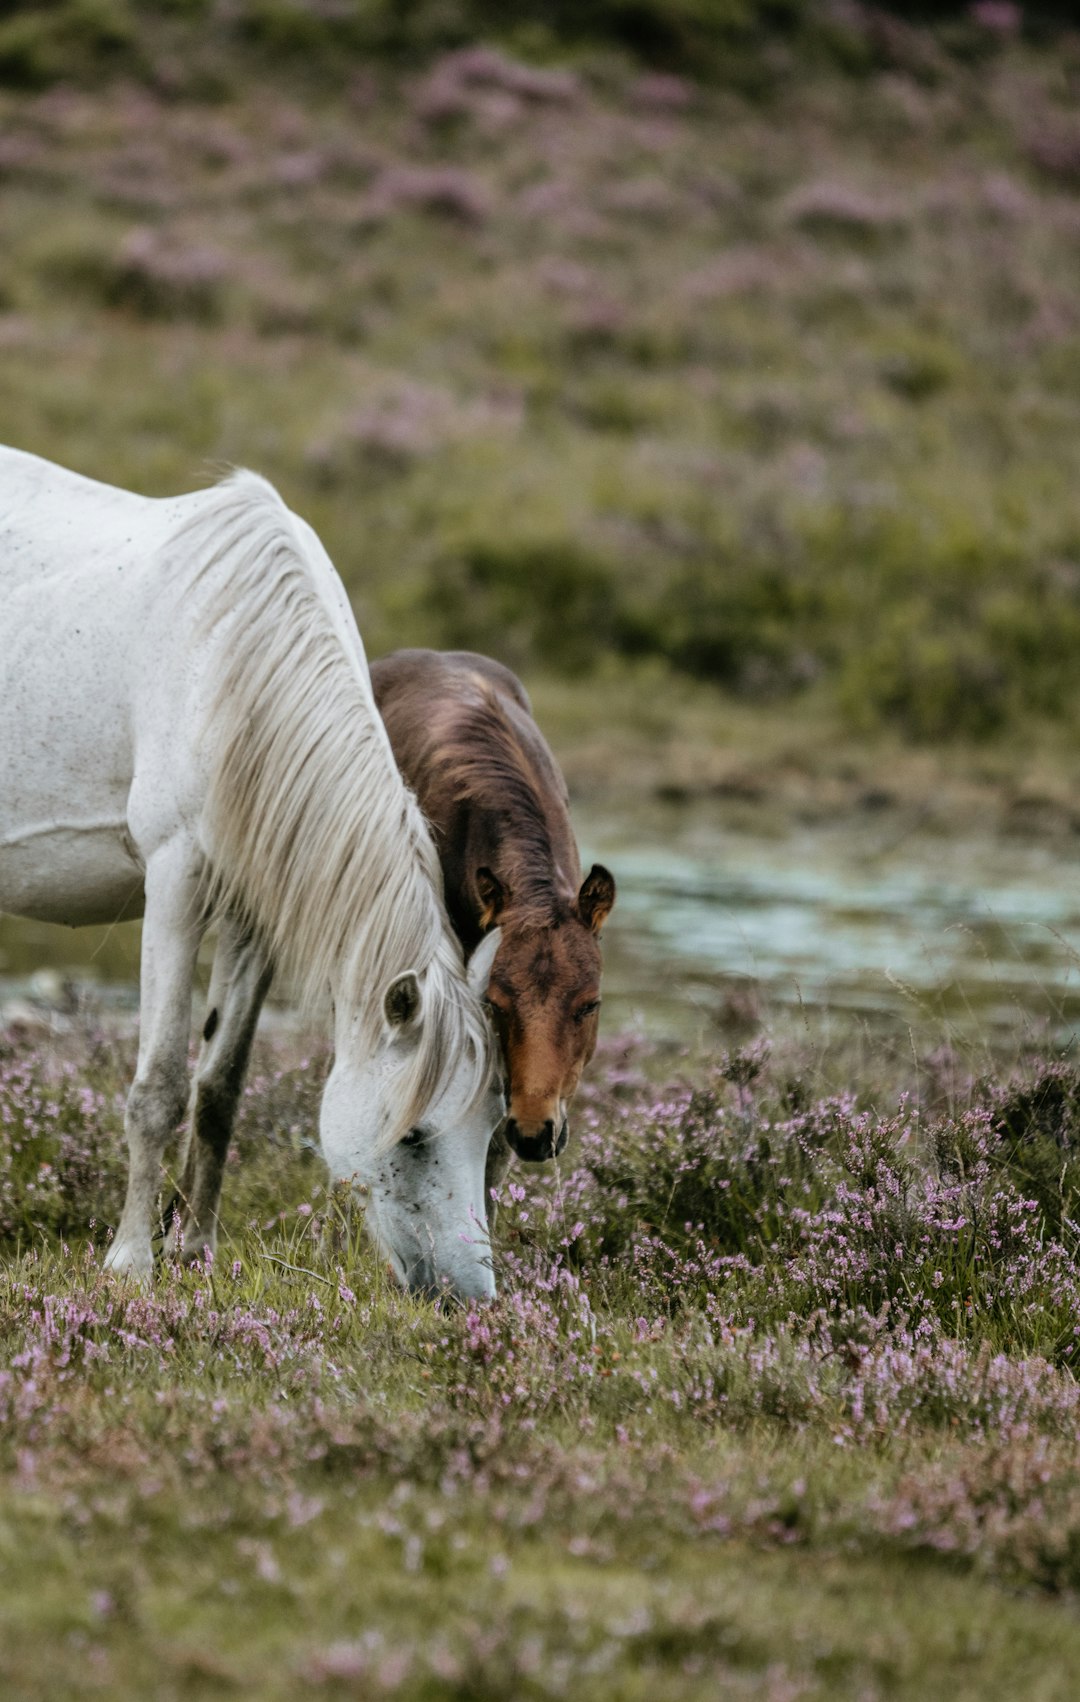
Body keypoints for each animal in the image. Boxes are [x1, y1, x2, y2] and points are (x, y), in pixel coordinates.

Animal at [0, 445, 506, 1293]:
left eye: (494, 1126)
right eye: (413, 1136)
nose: (469, 1297)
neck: (233, 658)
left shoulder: (256, 913)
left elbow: (220, 1088)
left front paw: (195, 1250)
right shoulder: (174, 882)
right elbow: (160, 1088)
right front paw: (132, 1262)